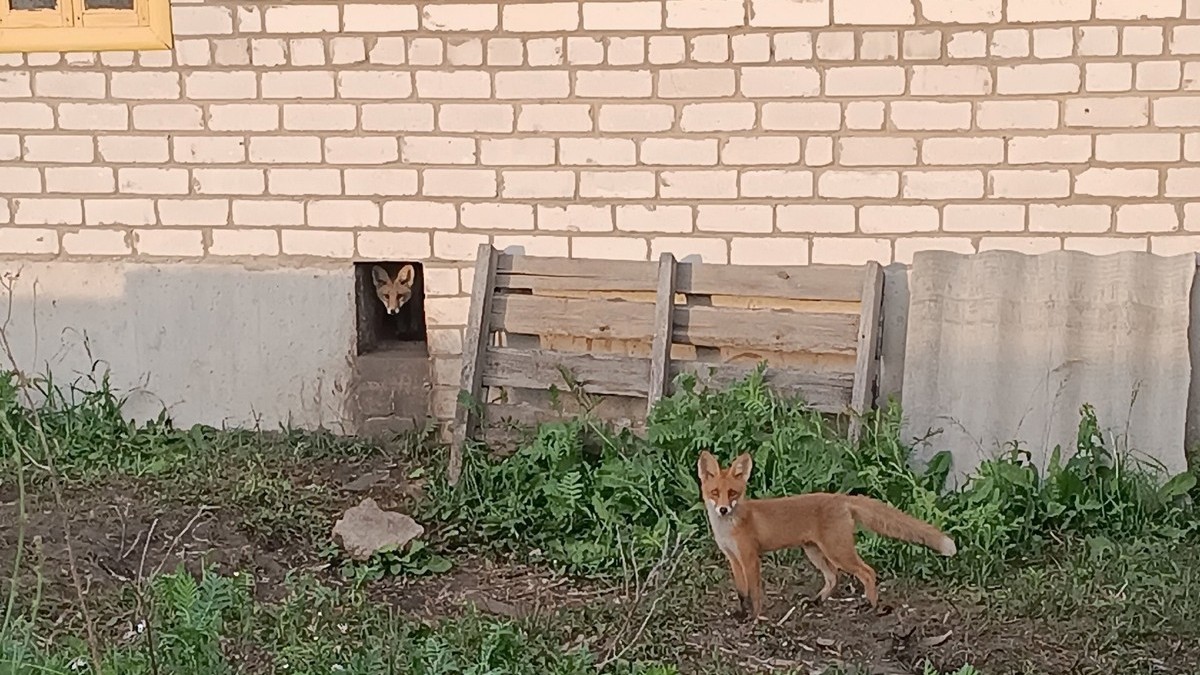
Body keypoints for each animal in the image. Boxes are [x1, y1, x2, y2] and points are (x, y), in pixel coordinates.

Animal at [696, 449, 955, 619]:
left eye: (732, 493)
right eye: (715, 492)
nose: (722, 509)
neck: (730, 527)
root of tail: (841, 497)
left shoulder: (750, 558)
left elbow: (755, 592)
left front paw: (755, 618)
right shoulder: (733, 558)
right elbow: (742, 592)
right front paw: (741, 615)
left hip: (837, 552)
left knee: (867, 572)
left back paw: (870, 607)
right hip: (814, 551)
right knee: (833, 577)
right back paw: (817, 601)